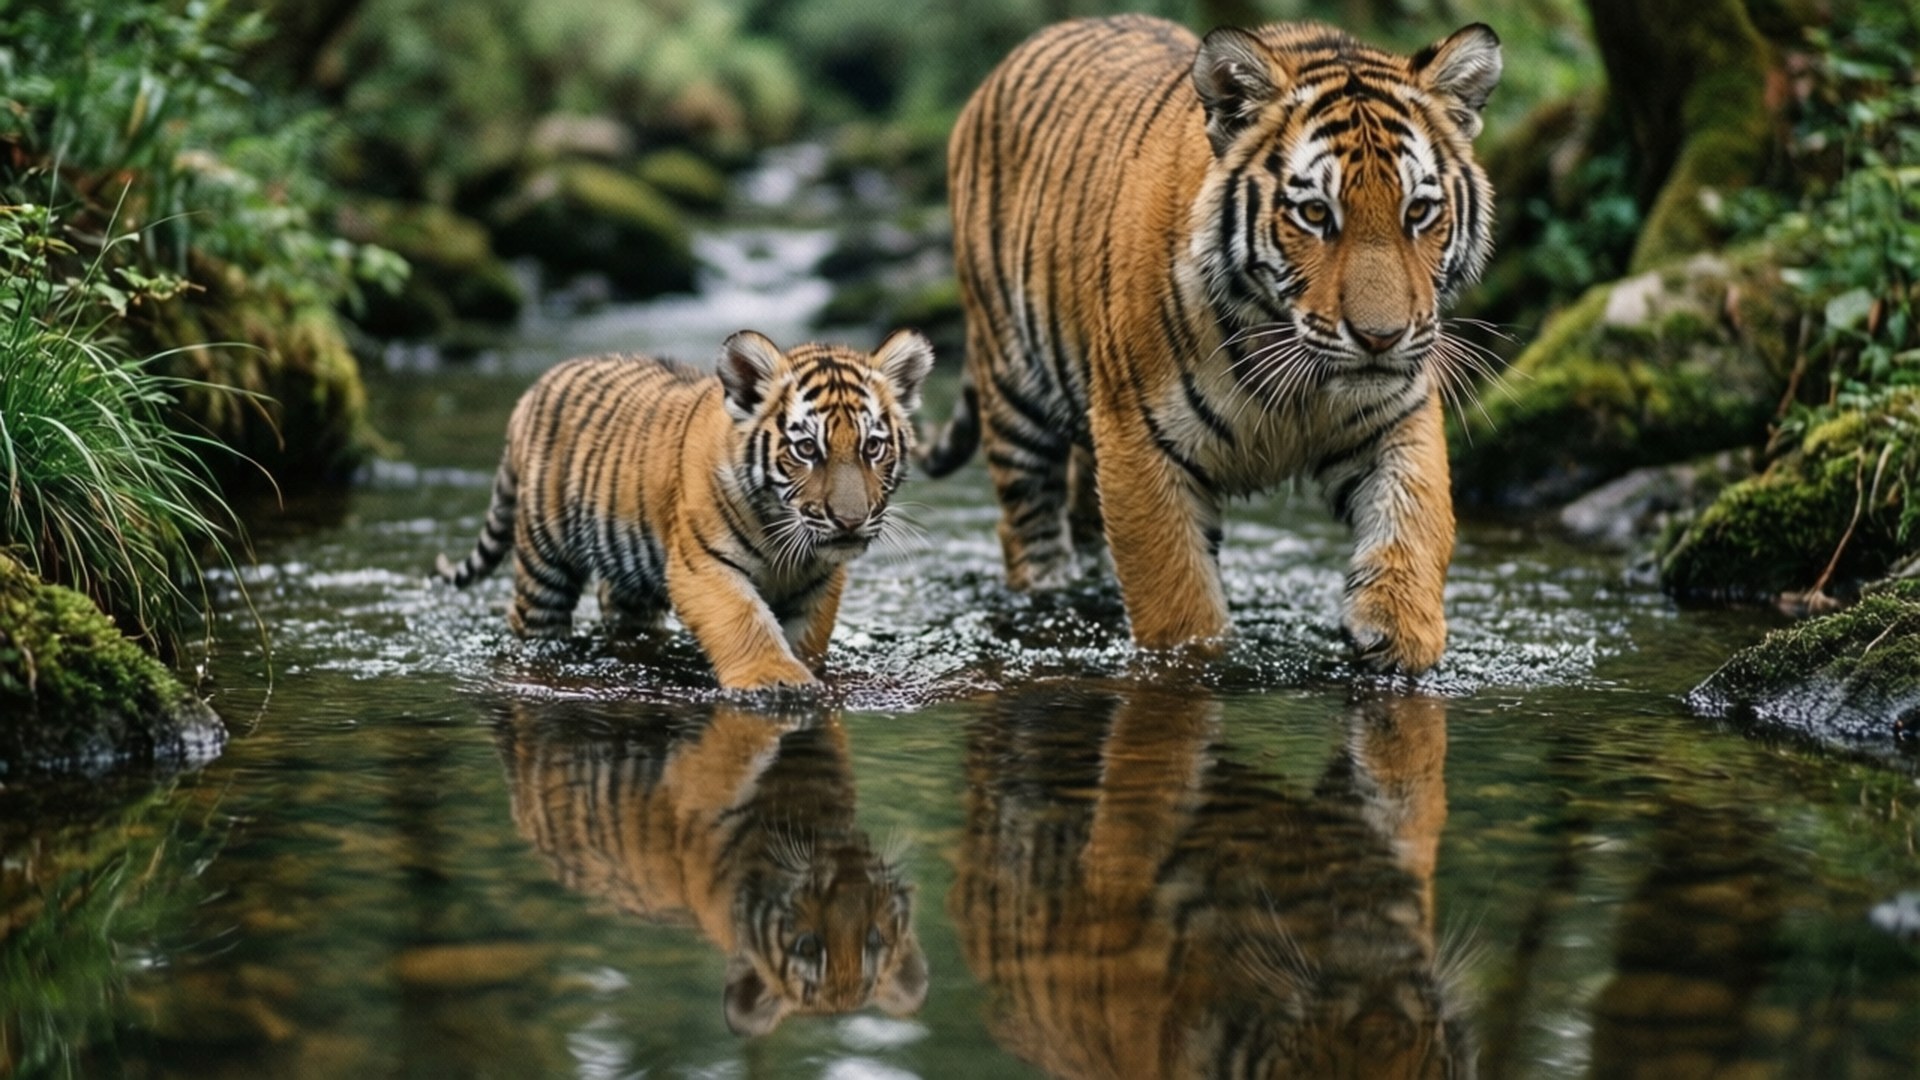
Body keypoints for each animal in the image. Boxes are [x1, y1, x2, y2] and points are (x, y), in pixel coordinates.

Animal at [437, 329, 934, 690]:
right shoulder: (703, 564)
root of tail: (532, 391)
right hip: (544, 559)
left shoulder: (819, 580)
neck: (784, 538)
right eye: (807, 449)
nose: (850, 521)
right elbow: (743, 619)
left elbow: (807, 635)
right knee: (531, 617)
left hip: (628, 573)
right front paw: (774, 678)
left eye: (873, 447)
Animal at [924, 15, 1503, 675]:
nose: (1380, 338)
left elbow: (1416, 520)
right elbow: (1176, 595)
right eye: (1314, 214)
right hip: (1016, 391)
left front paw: (1400, 634)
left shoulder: (1396, 418)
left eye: (1420, 211)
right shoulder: (1137, 441)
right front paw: (1199, 659)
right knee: (1027, 527)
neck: (1295, 373)